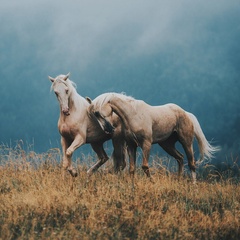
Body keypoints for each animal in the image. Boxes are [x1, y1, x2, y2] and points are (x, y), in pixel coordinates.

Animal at [89, 92, 219, 182]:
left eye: (97, 113)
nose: (107, 129)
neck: (133, 115)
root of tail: (186, 114)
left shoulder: (146, 144)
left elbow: (145, 166)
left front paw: (152, 182)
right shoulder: (131, 145)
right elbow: (132, 168)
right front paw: (132, 185)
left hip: (186, 142)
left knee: (191, 163)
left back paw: (193, 185)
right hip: (167, 144)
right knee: (180, 158)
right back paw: (178, 180)